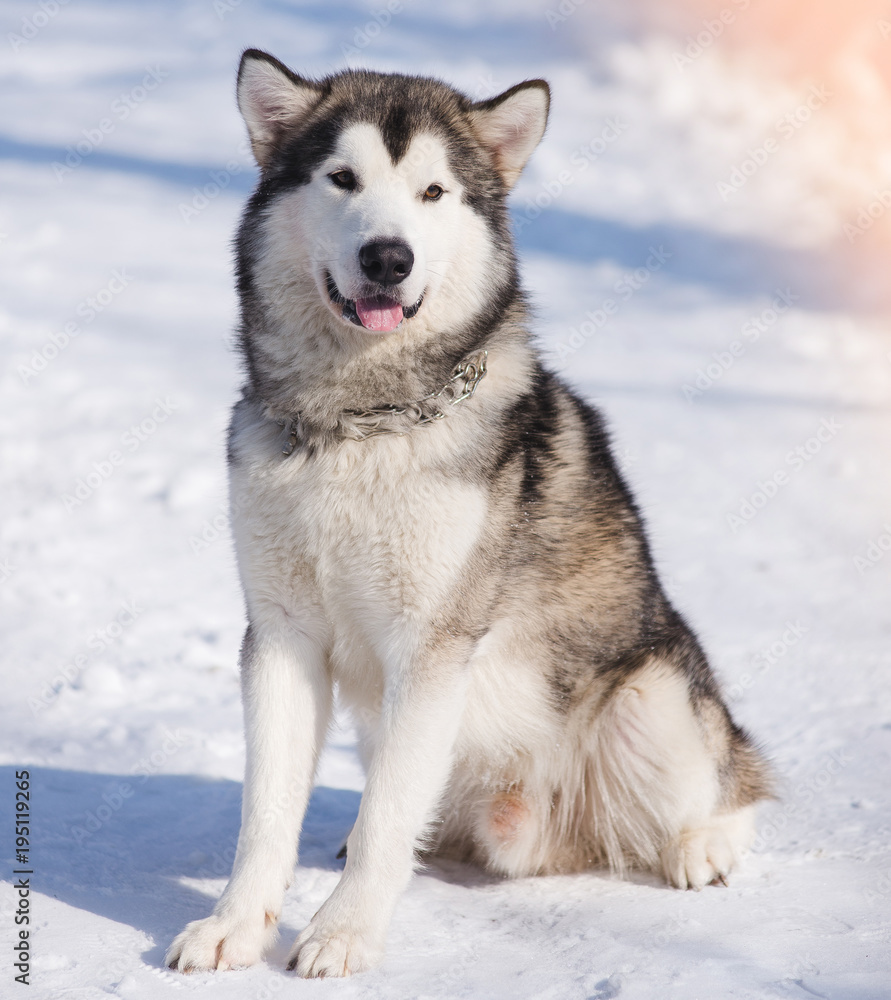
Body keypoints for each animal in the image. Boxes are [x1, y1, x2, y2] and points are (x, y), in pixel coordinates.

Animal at [167, 48, 772, 976]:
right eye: (341, 178)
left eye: (432, 192)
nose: (387, 257)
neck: (363, 423)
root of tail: (547, 835)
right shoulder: (279, 636)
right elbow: (266, 813)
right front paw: (234, 926)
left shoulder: (431, 648)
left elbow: (388, 817)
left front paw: (342, 933)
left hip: (652, 696)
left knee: (738, 781)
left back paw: (702, 846)